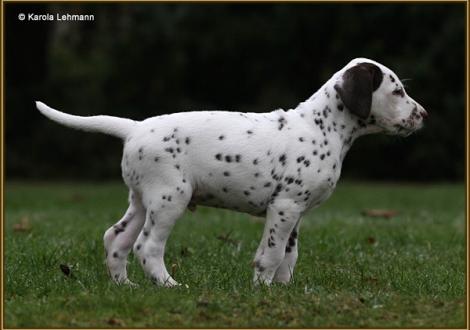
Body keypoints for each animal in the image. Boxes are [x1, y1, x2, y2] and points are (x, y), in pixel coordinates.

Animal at [35, 57, 426, 286]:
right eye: (397, 91)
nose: (424, 115)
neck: (321, 127)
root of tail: (135, 128)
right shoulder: (284, 207)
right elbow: (271, 254)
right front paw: (262, 290)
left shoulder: (296, 212)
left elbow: (289, 255)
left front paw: (282, 289)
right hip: (169, 199)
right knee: (147, 247)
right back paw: (169, 286)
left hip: (142, 201)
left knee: (116, 239)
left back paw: (125, 287)